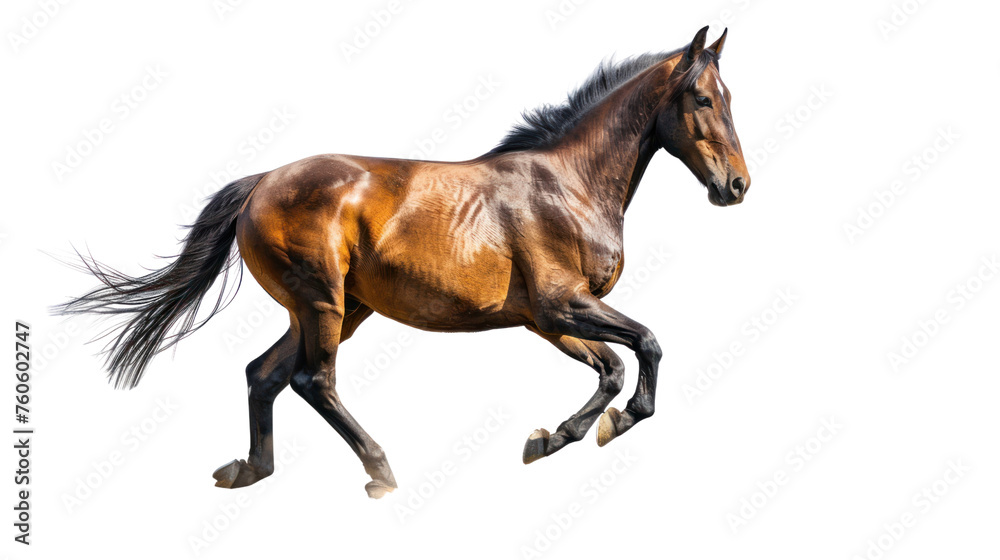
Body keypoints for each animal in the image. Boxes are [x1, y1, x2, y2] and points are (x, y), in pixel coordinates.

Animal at [56, 27, 752, 498]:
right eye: (701, 98)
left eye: (729, 96)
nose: (737, 186)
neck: (567, 184)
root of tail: (260, 184)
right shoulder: (562, 305)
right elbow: (647, 345)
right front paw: (615, 422)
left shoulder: (546, 319)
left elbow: (610, 368)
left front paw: (551, 439)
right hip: (324, 302)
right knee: (312, 380)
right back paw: (380, 473)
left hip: (338, 308)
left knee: (264, 373)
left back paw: (248, 470)